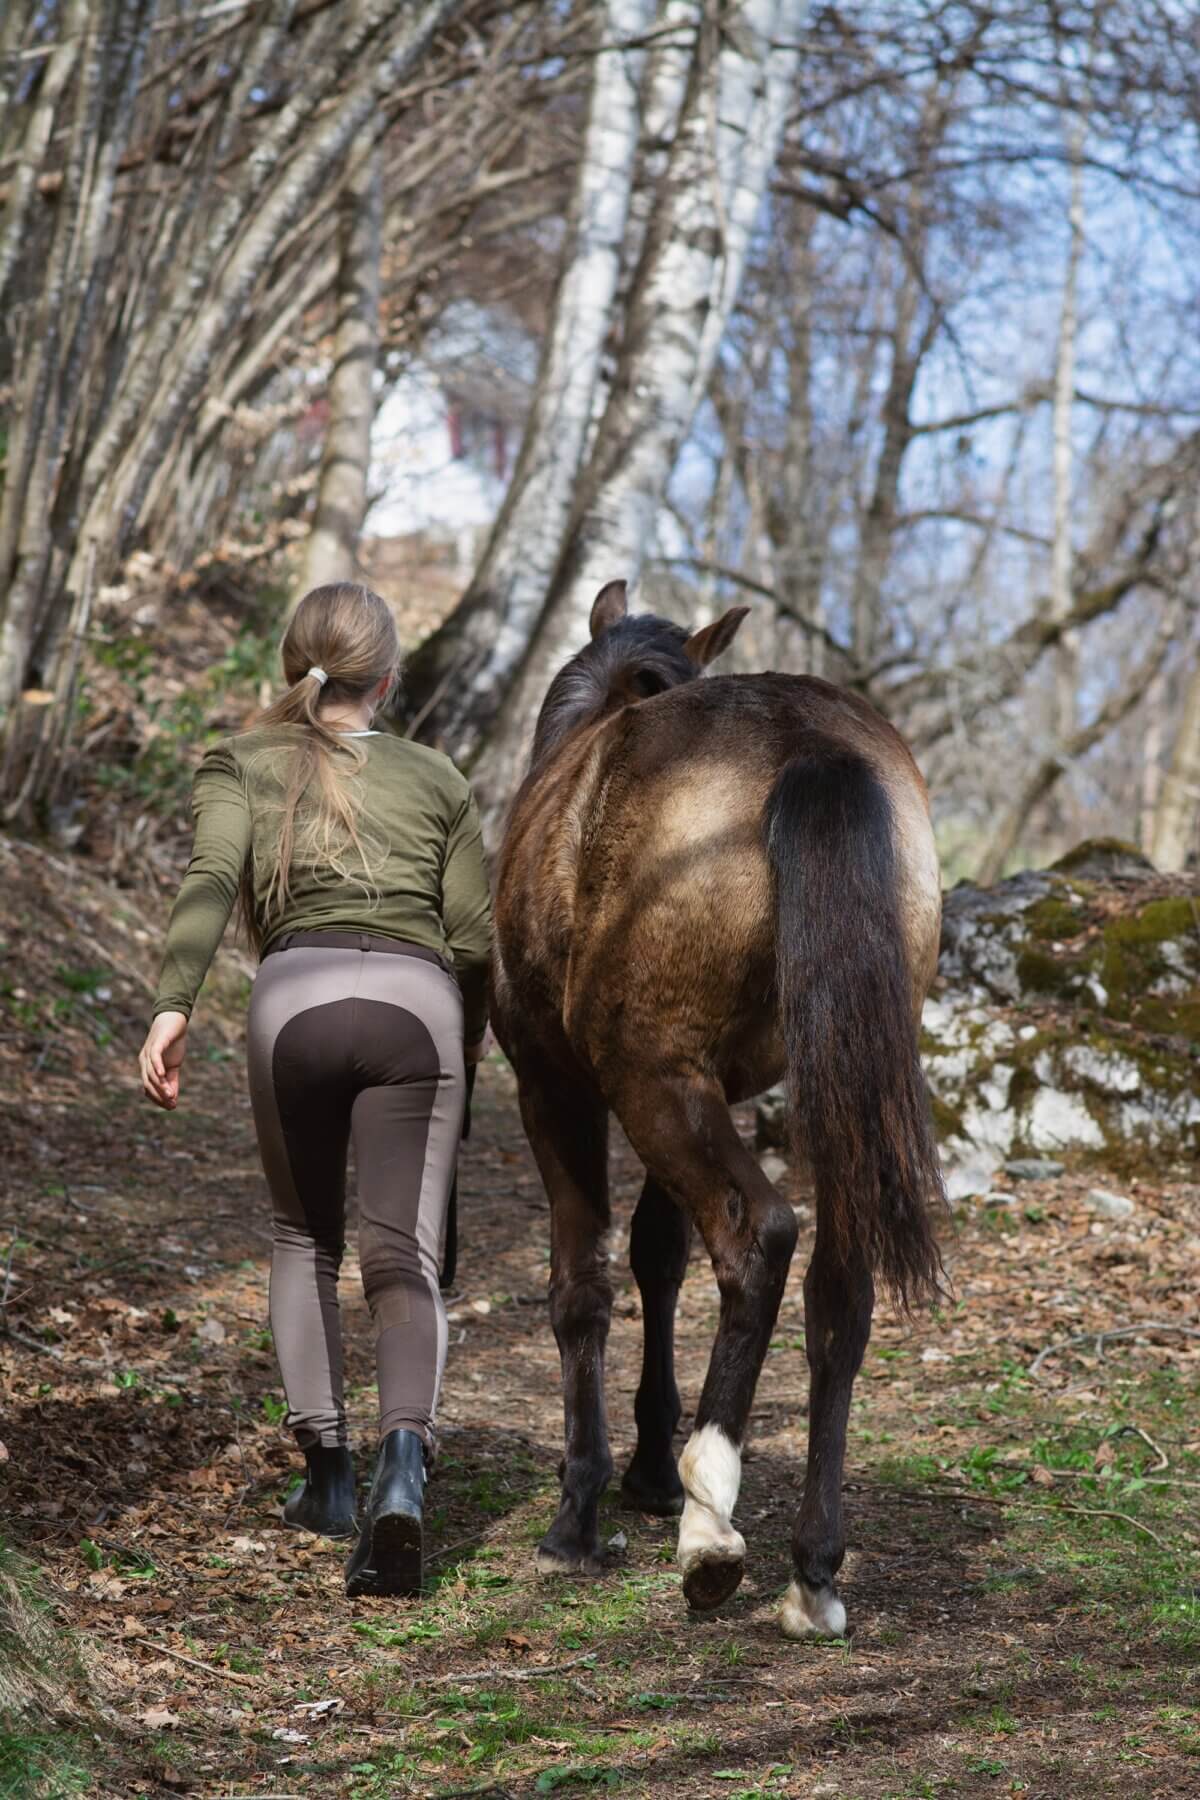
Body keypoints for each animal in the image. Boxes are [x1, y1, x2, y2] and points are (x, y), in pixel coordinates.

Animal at [489, 581, 945, 1638]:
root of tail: (807, 742)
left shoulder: (556, 1086)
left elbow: (584, 1284)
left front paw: (585, 1505)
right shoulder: (703, 1090)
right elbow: (658, 1258)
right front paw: (650, 1470)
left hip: (653, 1083)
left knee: (757, 1236)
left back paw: (711, 1525)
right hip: (818, 1085)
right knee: (838, 1289)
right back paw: (812, 1570)